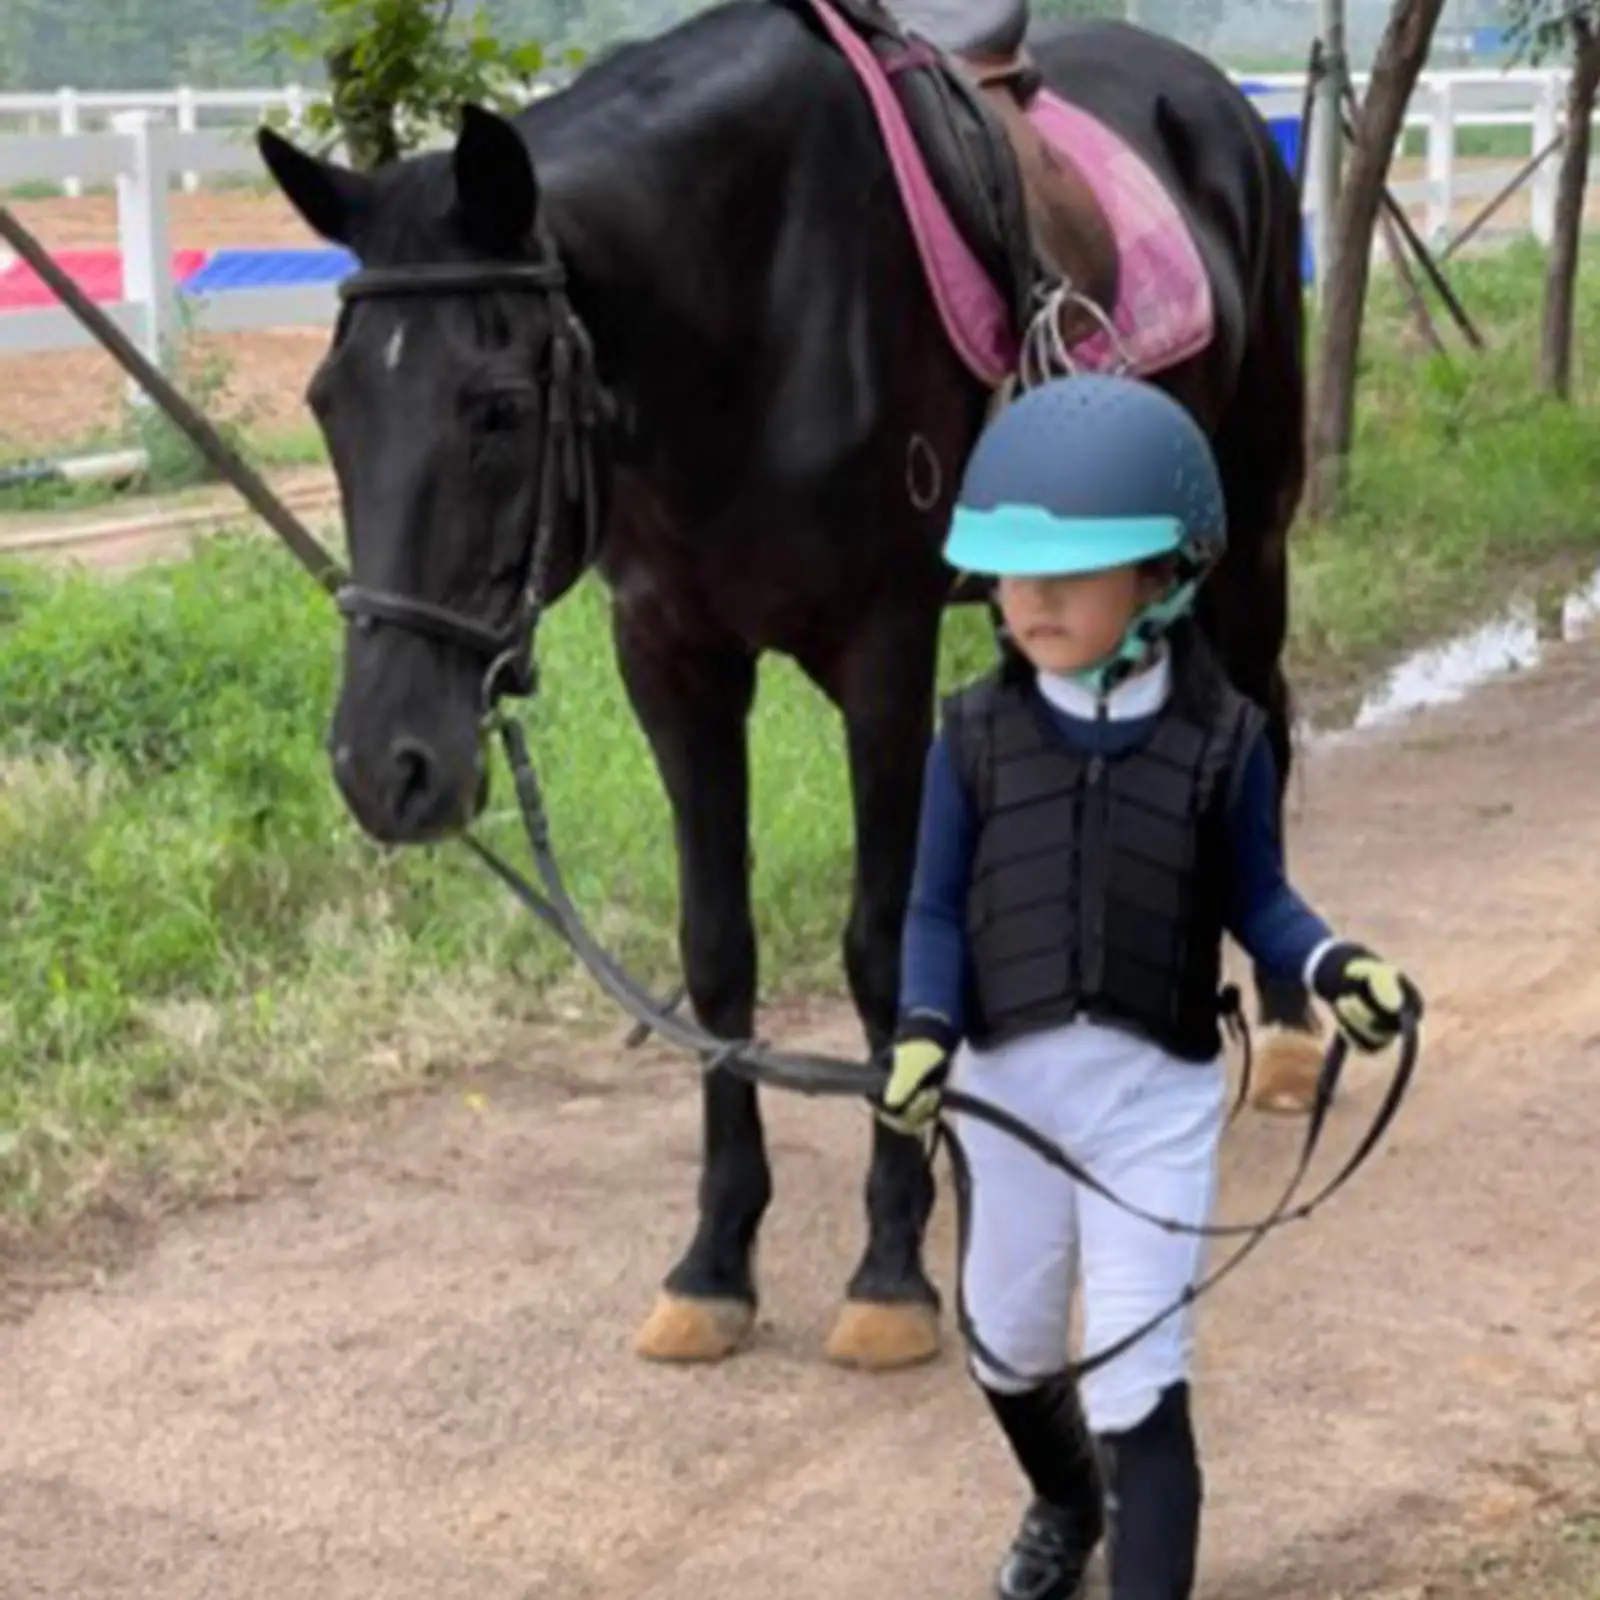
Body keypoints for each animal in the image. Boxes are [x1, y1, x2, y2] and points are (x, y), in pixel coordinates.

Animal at [257, 0, 1316, 1373]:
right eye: (328, 405)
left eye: (492, 408)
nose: (384, 763)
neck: (746, 303)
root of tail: (1219, 104)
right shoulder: (673, 659)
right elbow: (717, 950)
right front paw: (715, 1260)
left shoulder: (882, 649)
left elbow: (877, 946)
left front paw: (890, 1265)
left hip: (1247, 535)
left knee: (1267, 731)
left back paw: (1287, 1034)